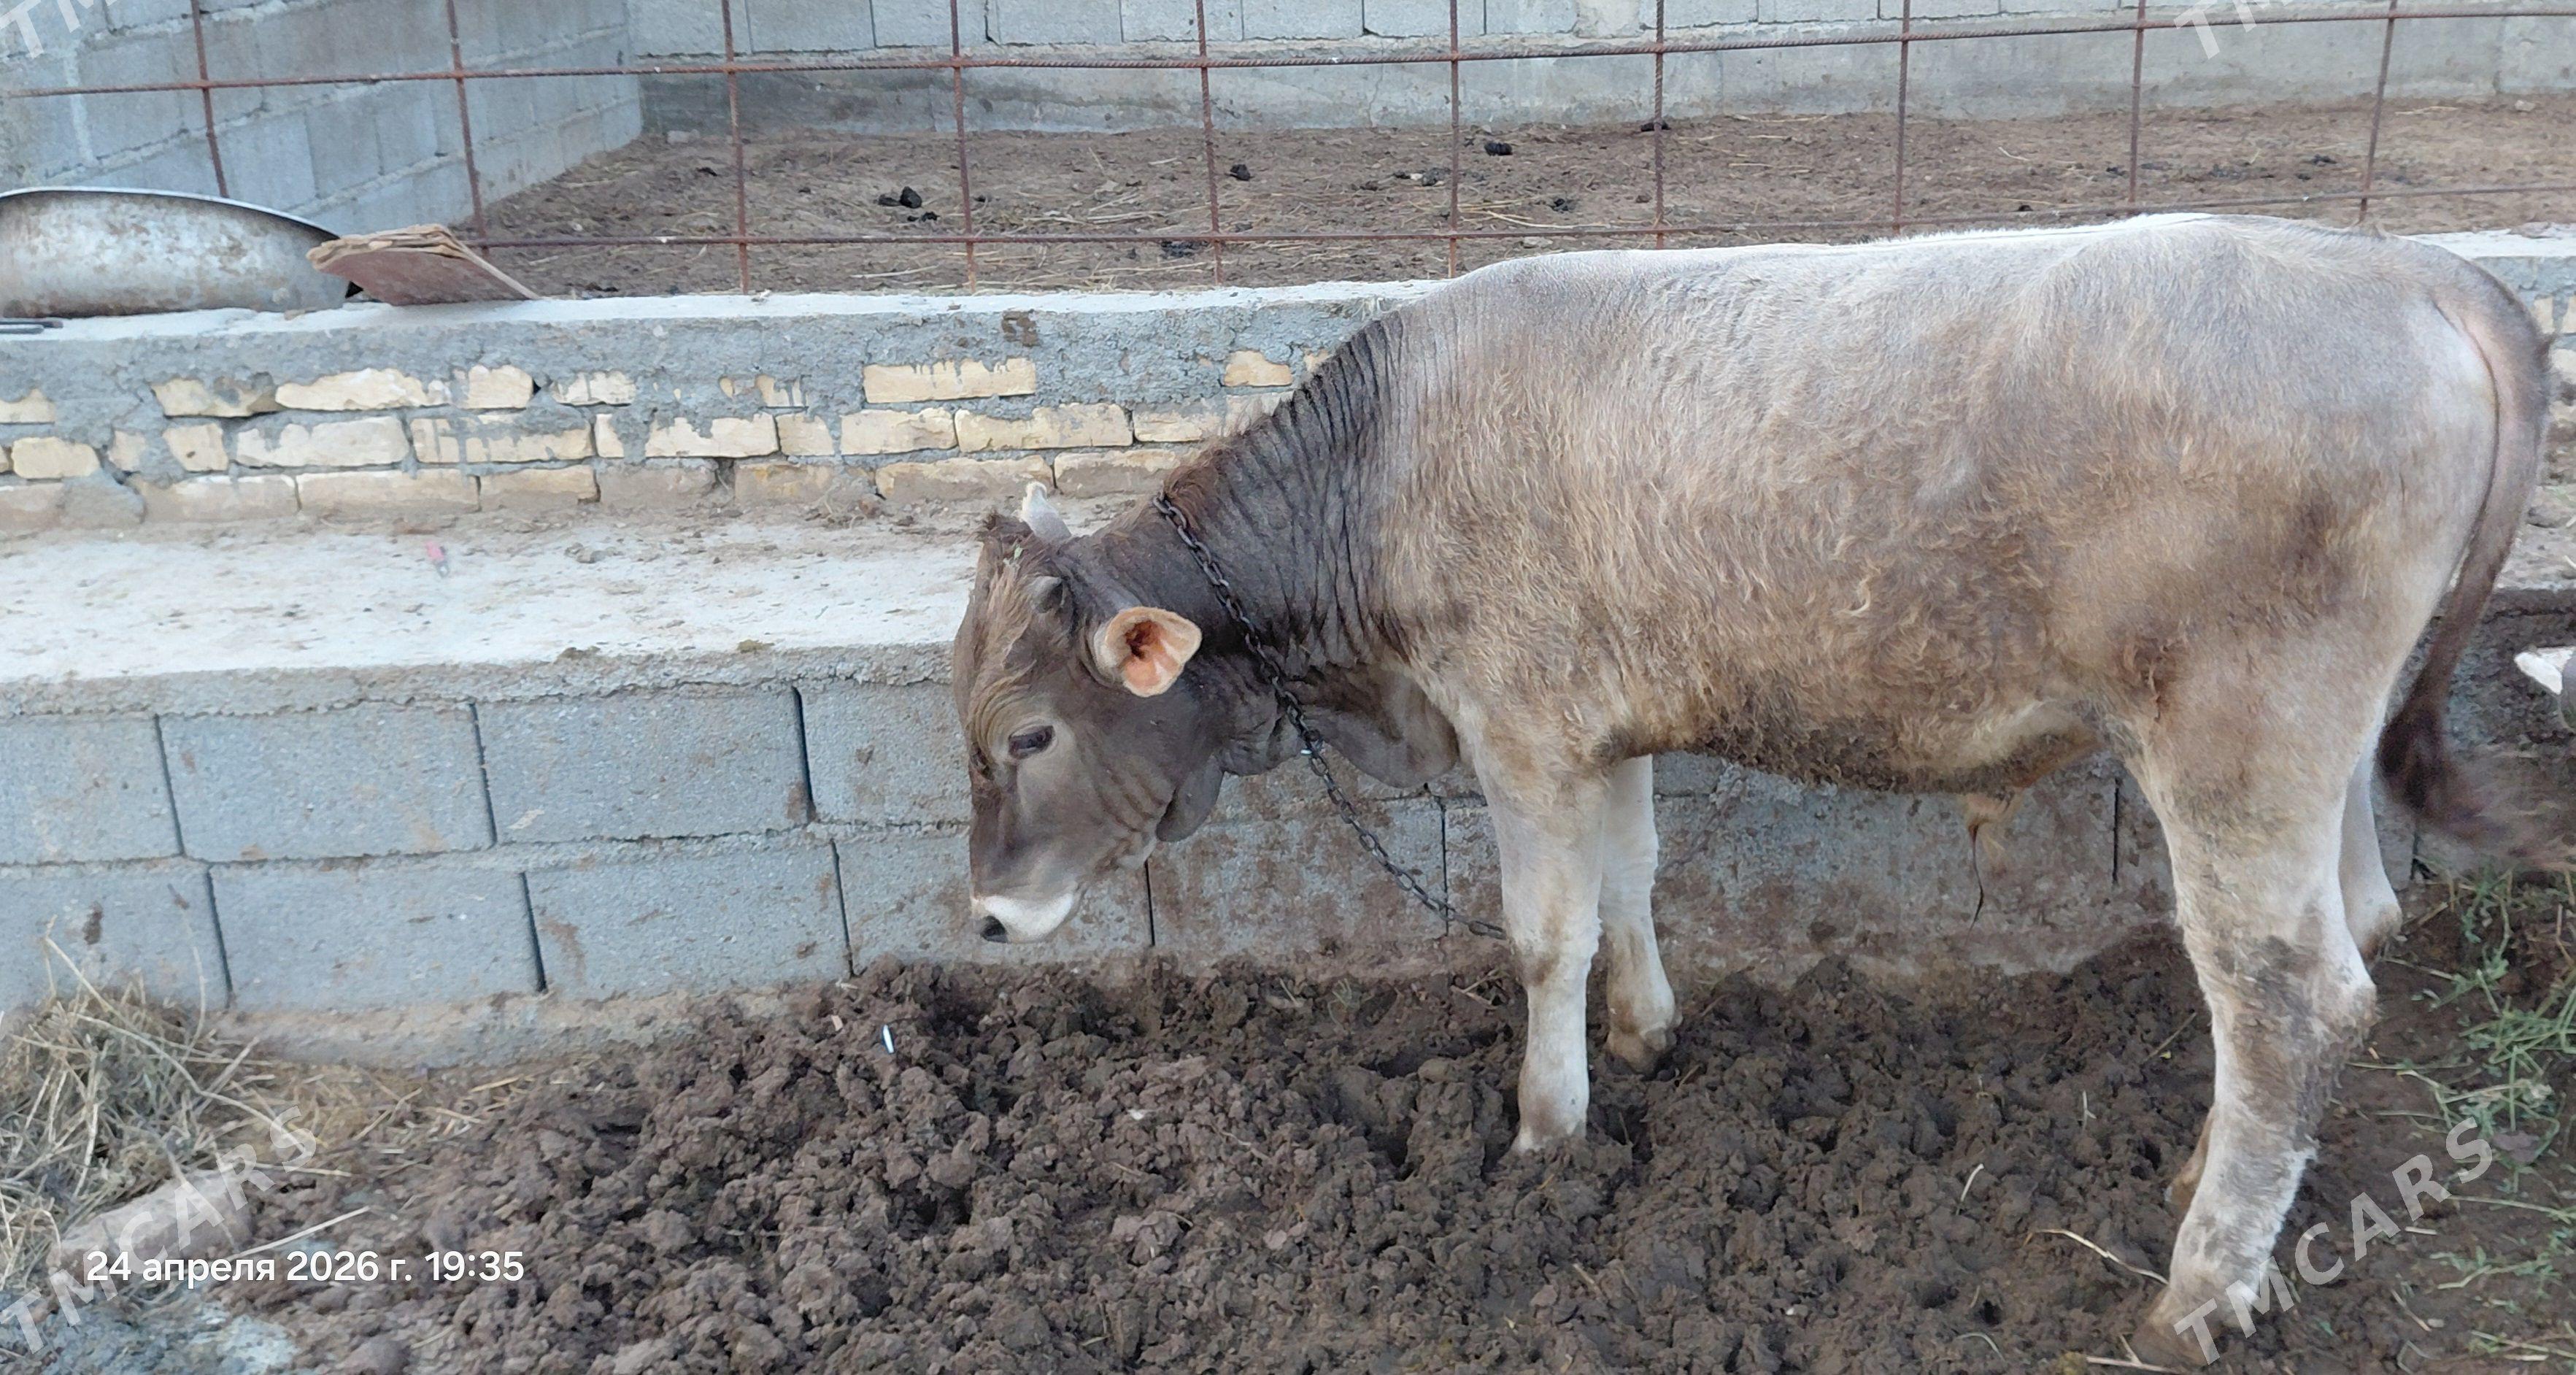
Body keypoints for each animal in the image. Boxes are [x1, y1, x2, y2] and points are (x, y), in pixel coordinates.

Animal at [948, 214, 2560, 1364]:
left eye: (1025, 734)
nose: (986, 917)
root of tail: (2401, 263)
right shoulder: (1601, 729)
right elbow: (1630, 877)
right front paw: (1647, 1030)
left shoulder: (1521, 728)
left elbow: (1542, 934)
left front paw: (1545, 1133)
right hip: (2322, 759)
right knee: (2359, 936)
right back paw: (2218, 1189)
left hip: (2235, 748)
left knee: (2287, 997)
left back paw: (2196, 1293)